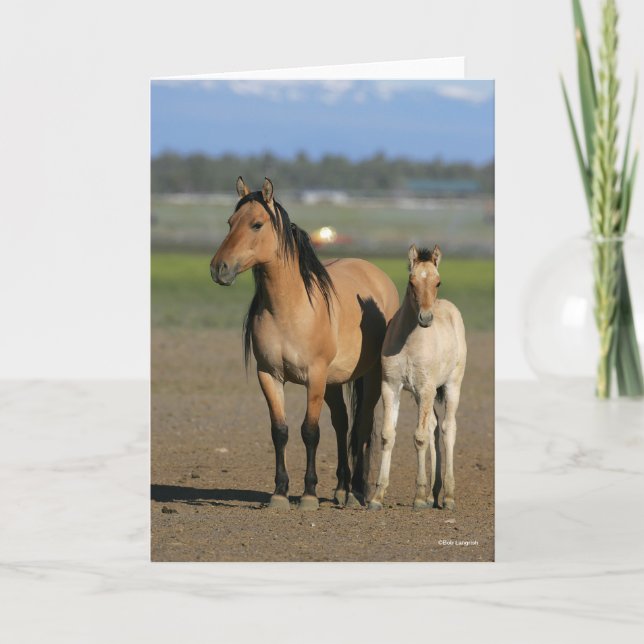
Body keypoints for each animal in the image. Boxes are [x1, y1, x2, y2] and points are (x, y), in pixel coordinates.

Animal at [210, 177, 399, 511]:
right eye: (230, 222)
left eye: (256, 224)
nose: (219, 268)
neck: (290, 308)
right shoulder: (269, 376)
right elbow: (280, 432)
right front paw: (280, 493)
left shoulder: (315, 377)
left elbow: (310, 432)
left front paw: (309, 494)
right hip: (334, 383)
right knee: (342, 424)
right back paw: (341, 489)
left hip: (371, 377)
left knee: (362, 426)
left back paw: (358, 492)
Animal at [368, 244, 467, 511]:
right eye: (412, 282)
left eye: (438, 282)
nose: (425, 318)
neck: (409, 343)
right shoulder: (391, 387)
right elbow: (388, 435)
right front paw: (377, 497)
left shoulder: (426, 389)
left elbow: (419, 438)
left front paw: (419, 498)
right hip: (421, 395)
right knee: (433, 425)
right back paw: (434, 494)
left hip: (451, 386)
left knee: (448, 428)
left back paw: (448, 497)